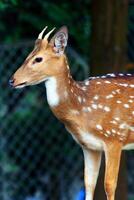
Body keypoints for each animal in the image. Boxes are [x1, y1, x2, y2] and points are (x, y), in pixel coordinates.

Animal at [9, 26, 134, 200]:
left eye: (38, 59)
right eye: (27, 56)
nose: (11, 80)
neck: (82, 108)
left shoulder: (114, 137)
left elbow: (109, 185)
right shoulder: (89, 146)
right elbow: (88, 184)